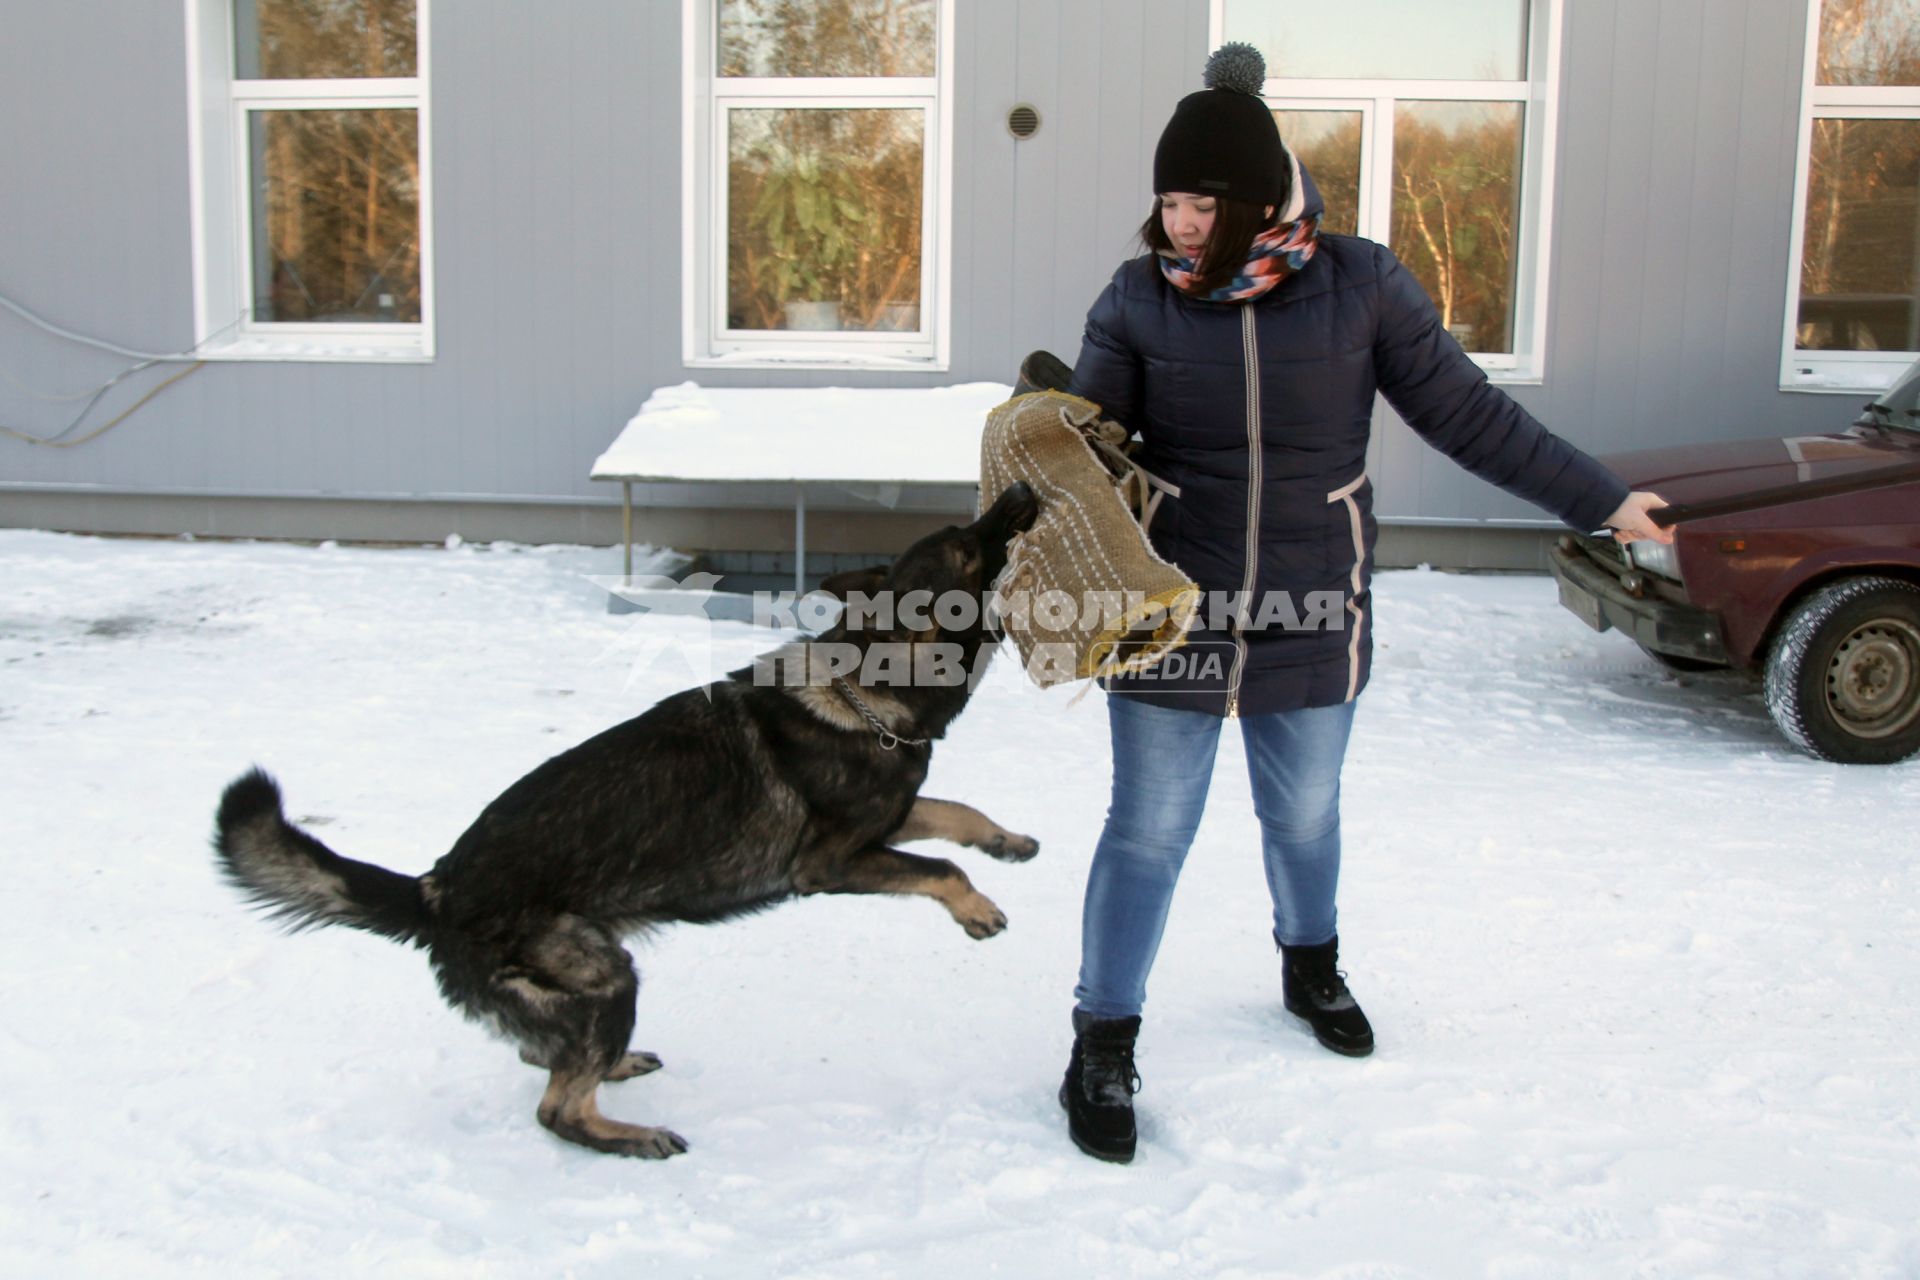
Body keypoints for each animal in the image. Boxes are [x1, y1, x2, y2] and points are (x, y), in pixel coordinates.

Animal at [212, 479, 1044, 1159]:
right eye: (966, 546)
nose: (1023, 490)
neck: (867, 686)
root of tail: (436, 889)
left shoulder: (886, 823)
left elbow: (955, 812)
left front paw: (1008, 842)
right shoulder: (834, 864)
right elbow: (940, 864)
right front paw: (977, 907)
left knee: (545, 1057)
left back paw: (613, 1069)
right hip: (607, 979)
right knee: (556, 1107)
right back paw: (627, 1135)